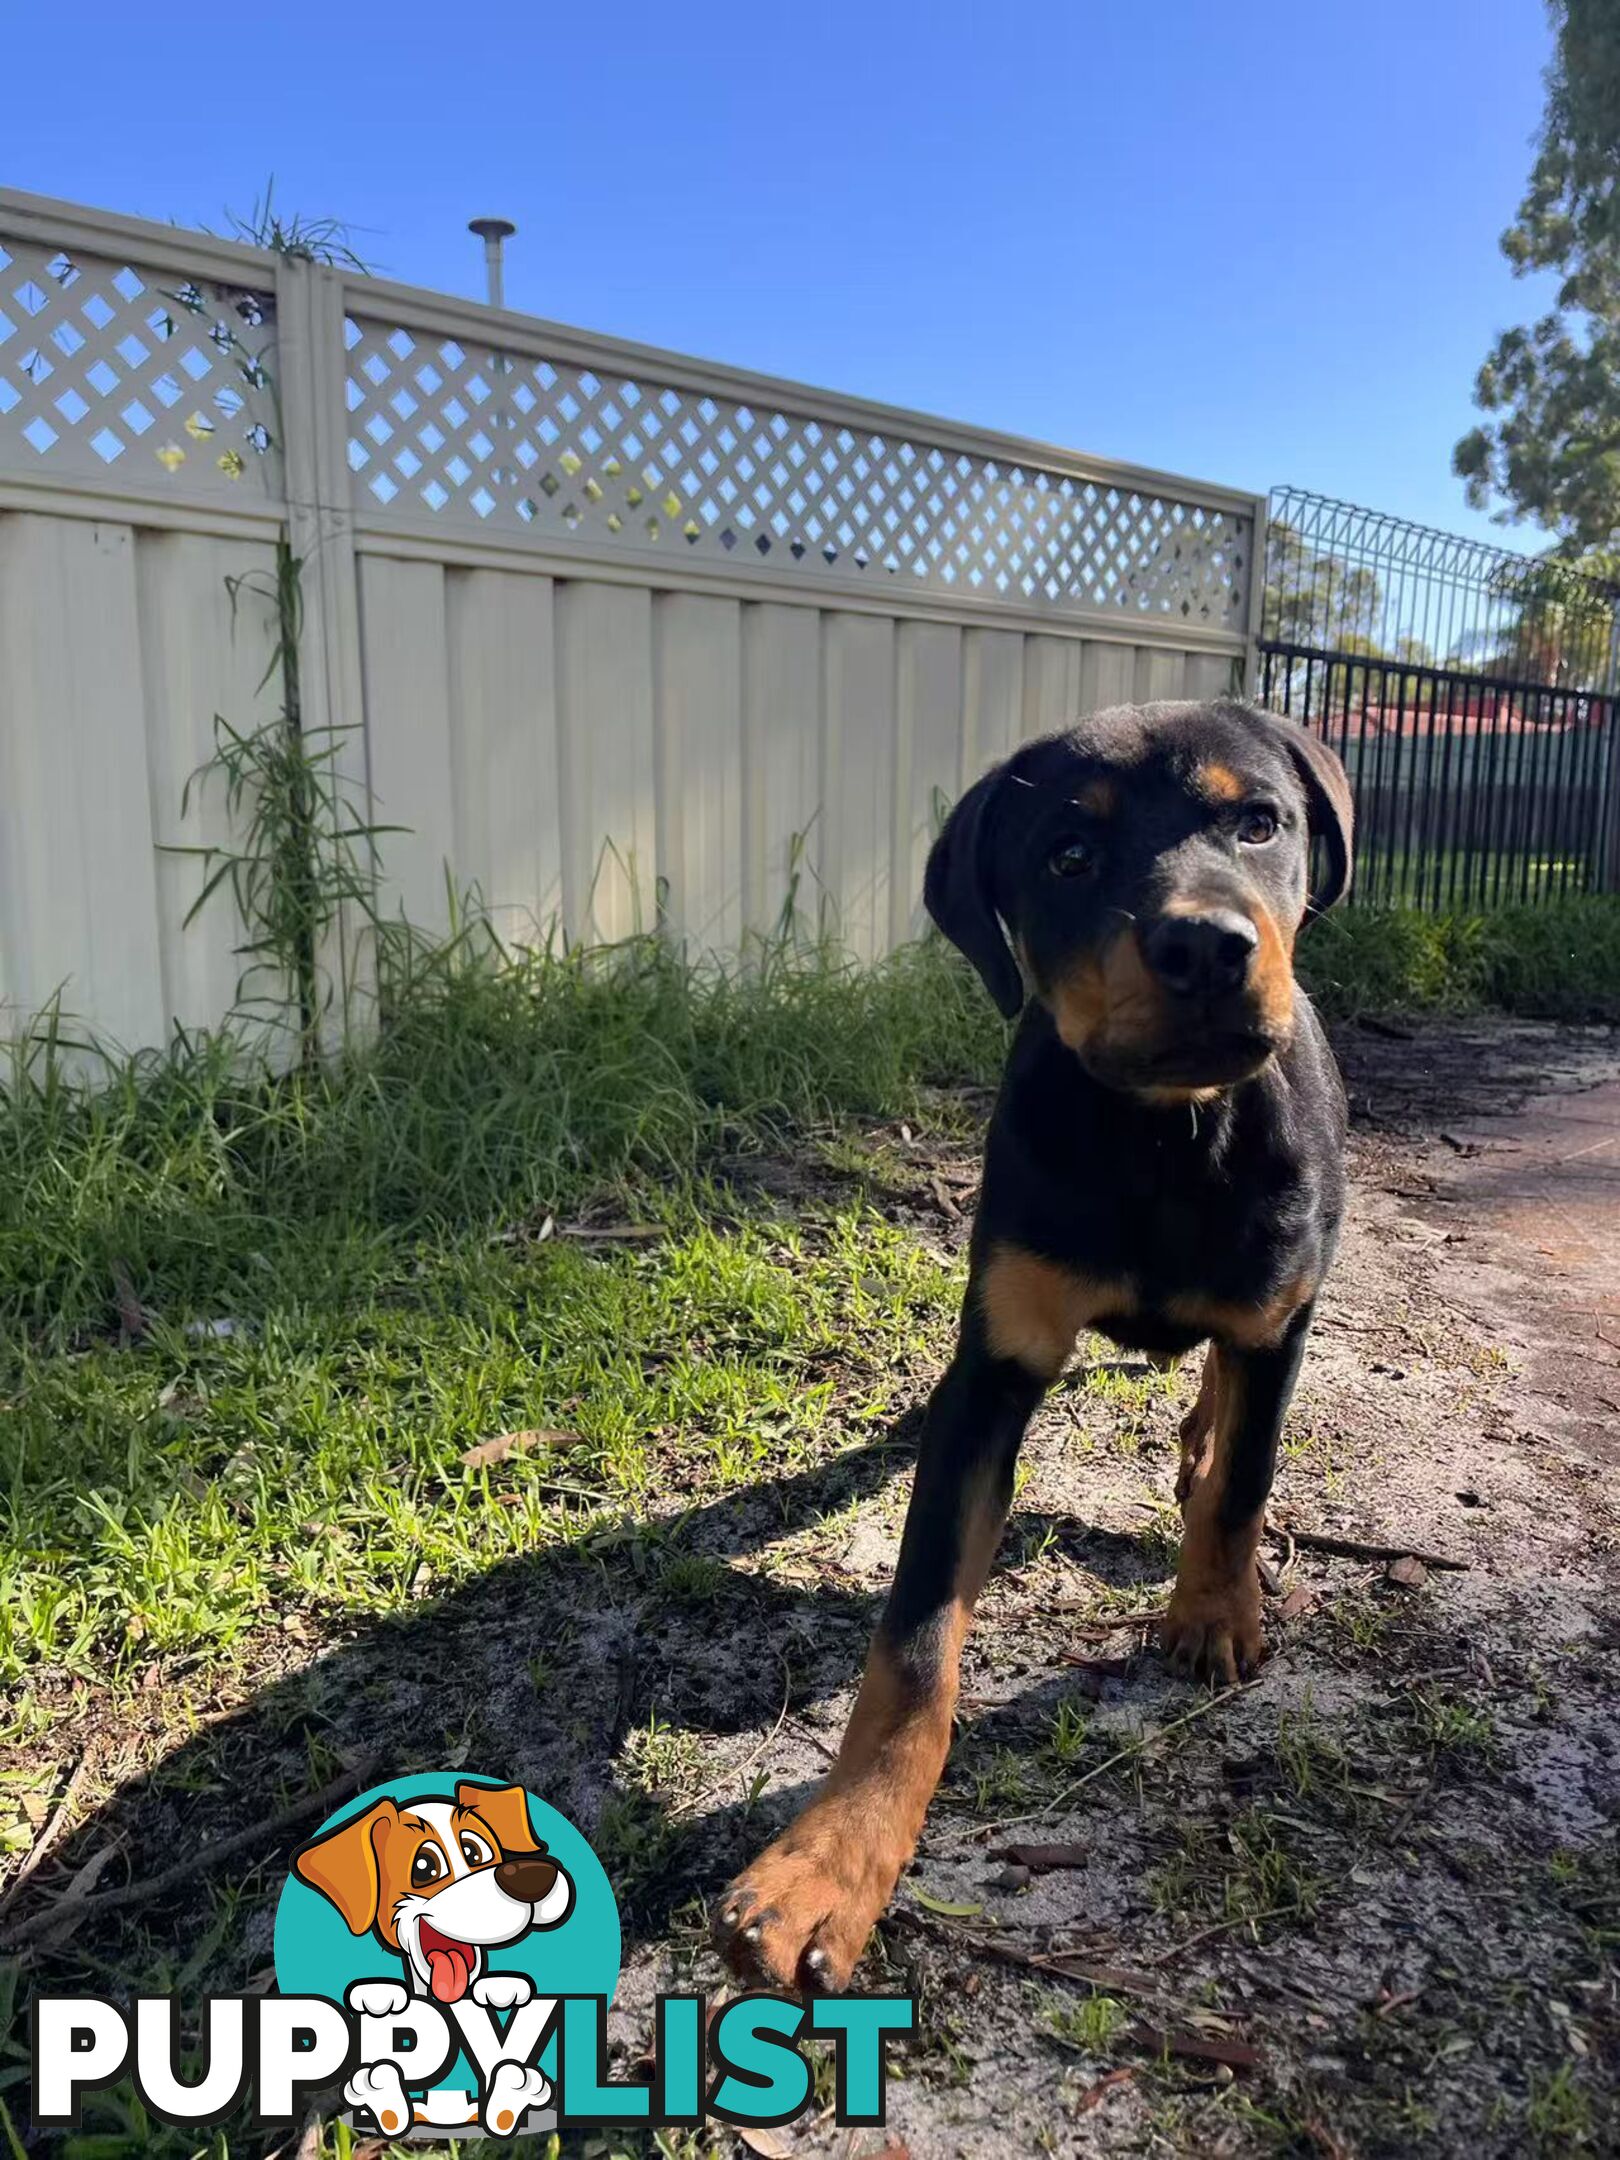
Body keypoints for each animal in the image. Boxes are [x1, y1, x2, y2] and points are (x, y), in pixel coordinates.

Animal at [717, 695, 1365, 1987]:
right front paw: (832, 1862)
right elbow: (915, 1643)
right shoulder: (994, 1368)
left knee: (1225, 1415)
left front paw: (1214, 1611)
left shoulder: (1282, 1319)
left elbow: (1247, 1478)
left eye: (1260, 824)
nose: (1206, 948)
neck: (1166, 1139)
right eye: (1069, 855)